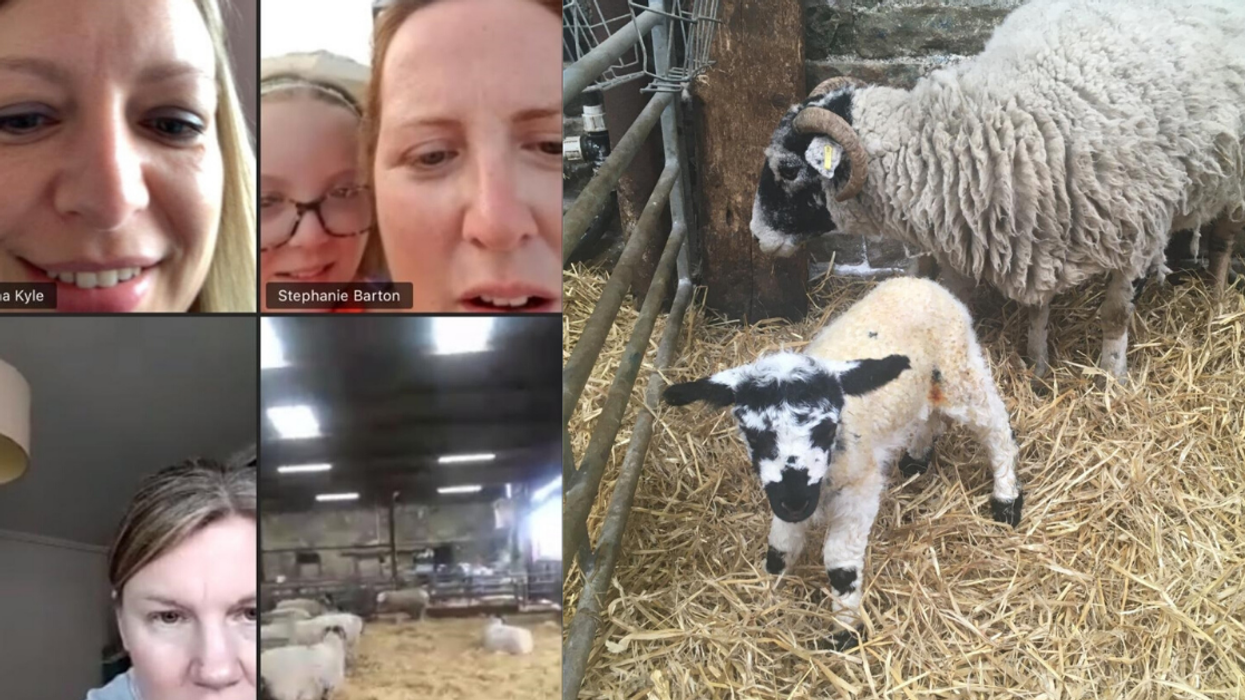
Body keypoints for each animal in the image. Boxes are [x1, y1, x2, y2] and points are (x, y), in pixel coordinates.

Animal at [662, 276, 1023, 650]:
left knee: (996, 426)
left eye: (826, 427)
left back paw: (1007, 499)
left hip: (958, 370)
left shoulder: (859, 488)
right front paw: (766, 597)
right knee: (931, 414)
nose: (795, 502)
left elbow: (840, 562)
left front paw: (845, 630)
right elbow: (780, 546)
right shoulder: (780, 495)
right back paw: (916, 457)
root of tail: (923, 282)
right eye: (753, 435)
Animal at [750, 0, 1245, 382]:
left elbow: (1115, 315)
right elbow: (1038, 308)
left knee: (1224, 237)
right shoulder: (1038, 234)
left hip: (1234, 178)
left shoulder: (1139, 232)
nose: (756, 235)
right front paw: (1038, 366)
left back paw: (1218, 301)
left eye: (790, 170)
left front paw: (1112, 379)